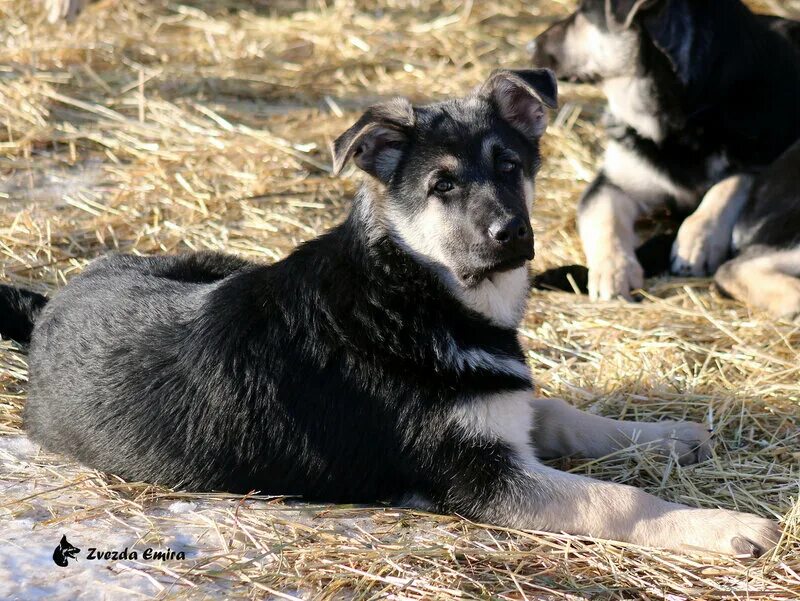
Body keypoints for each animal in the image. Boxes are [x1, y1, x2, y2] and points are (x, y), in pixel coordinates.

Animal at [0, 72, 780, 556]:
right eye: (442, 185)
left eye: (510, 165)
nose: (513, 235)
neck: (414, 288)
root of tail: (49, 307)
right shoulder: (478, 477)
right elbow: (617, 501)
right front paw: (726, 526)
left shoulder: (501, 414)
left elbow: (563, 413)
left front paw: (667, 435)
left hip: (211, 258)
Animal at [532, 0, 800, 316]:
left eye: (584, 12)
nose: (530, 45)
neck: (682, 116)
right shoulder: (611, 183)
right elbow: (605, 220)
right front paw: (613, 272)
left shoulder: (758, 163)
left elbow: (729, 185)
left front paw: (697, 239)